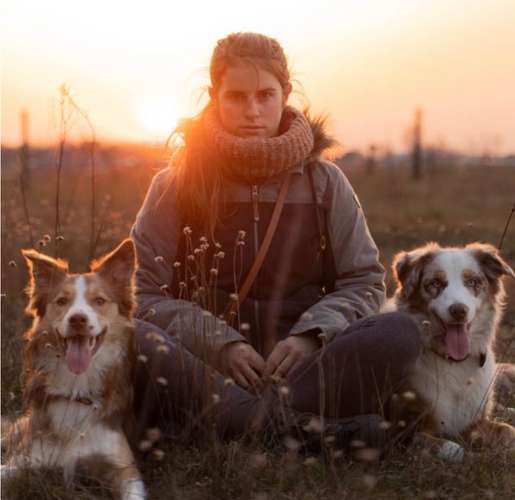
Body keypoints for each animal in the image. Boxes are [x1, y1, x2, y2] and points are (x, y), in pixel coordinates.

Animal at [1, 240, 146, 498]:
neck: (76, 390)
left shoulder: (125, 469)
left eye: (99, 301)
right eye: (61, 301)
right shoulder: (26, 458)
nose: (77, 319)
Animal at [390, 242, 515, 458]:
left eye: (472, 282)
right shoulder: (402, 430)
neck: (454, 362)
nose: (459, 310)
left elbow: (508, 431)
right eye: (435, 283)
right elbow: (452, 448)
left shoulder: (475, 418)